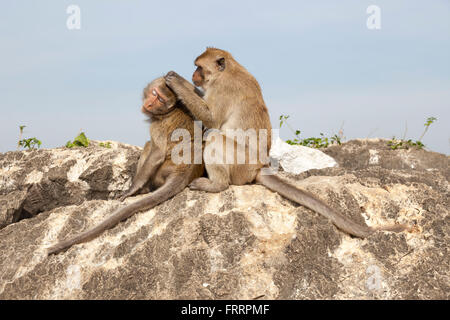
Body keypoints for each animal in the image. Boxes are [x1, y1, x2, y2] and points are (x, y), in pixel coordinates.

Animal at [48, 77, 204, 255]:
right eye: (155, 93)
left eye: (161, 99)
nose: (150, 104)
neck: (166, 113)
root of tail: (185, 171)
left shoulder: (158, 127)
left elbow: (157, 153)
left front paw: (132, 189)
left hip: (162, 171)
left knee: (149, 146)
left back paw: (142, 189)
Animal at [164, 47, 408, 238]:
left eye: (199, 67)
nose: (193, 75)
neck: (229, 70)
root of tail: (259, 168)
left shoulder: (223, 89)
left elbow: (211, 118)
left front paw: (176, 81)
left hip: (240, 164)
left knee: (214, 137)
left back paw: (216, 184)